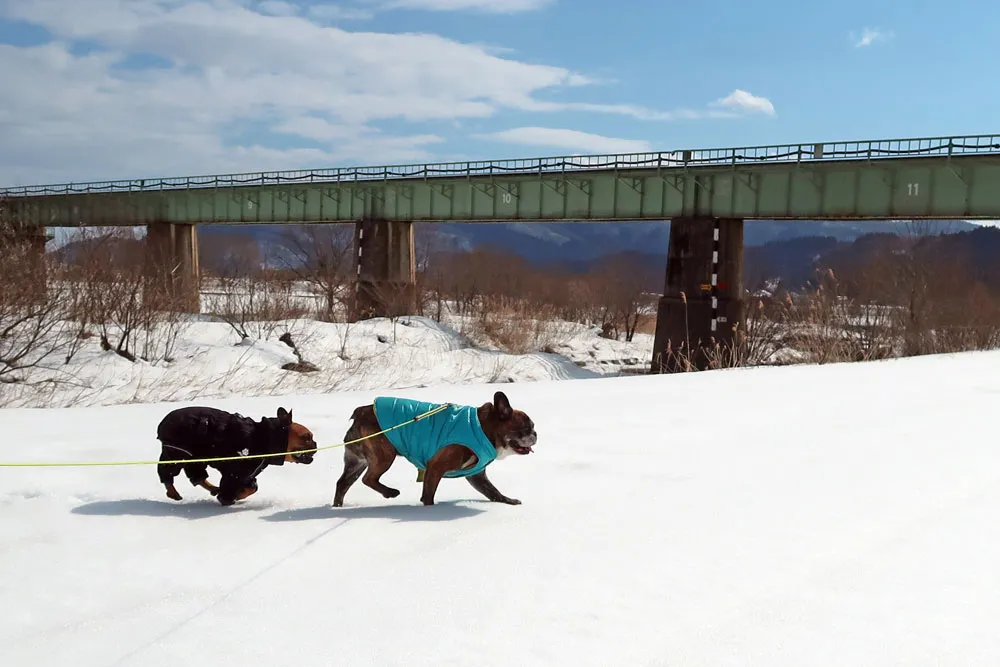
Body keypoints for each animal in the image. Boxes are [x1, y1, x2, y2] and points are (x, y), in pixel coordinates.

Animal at [155, 408, 316, 506]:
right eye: (306, 438)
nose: (315, 444)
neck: (267, 438)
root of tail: (163, 422)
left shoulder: (247, 475)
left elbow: (252, 487)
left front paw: (235, 495)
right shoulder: (235, 474)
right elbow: (235, 488)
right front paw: (228, 498)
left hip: (195, 458)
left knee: (198, 477)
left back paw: (213, 488)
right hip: (177, 454)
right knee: (167, 473)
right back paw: (173, 492)